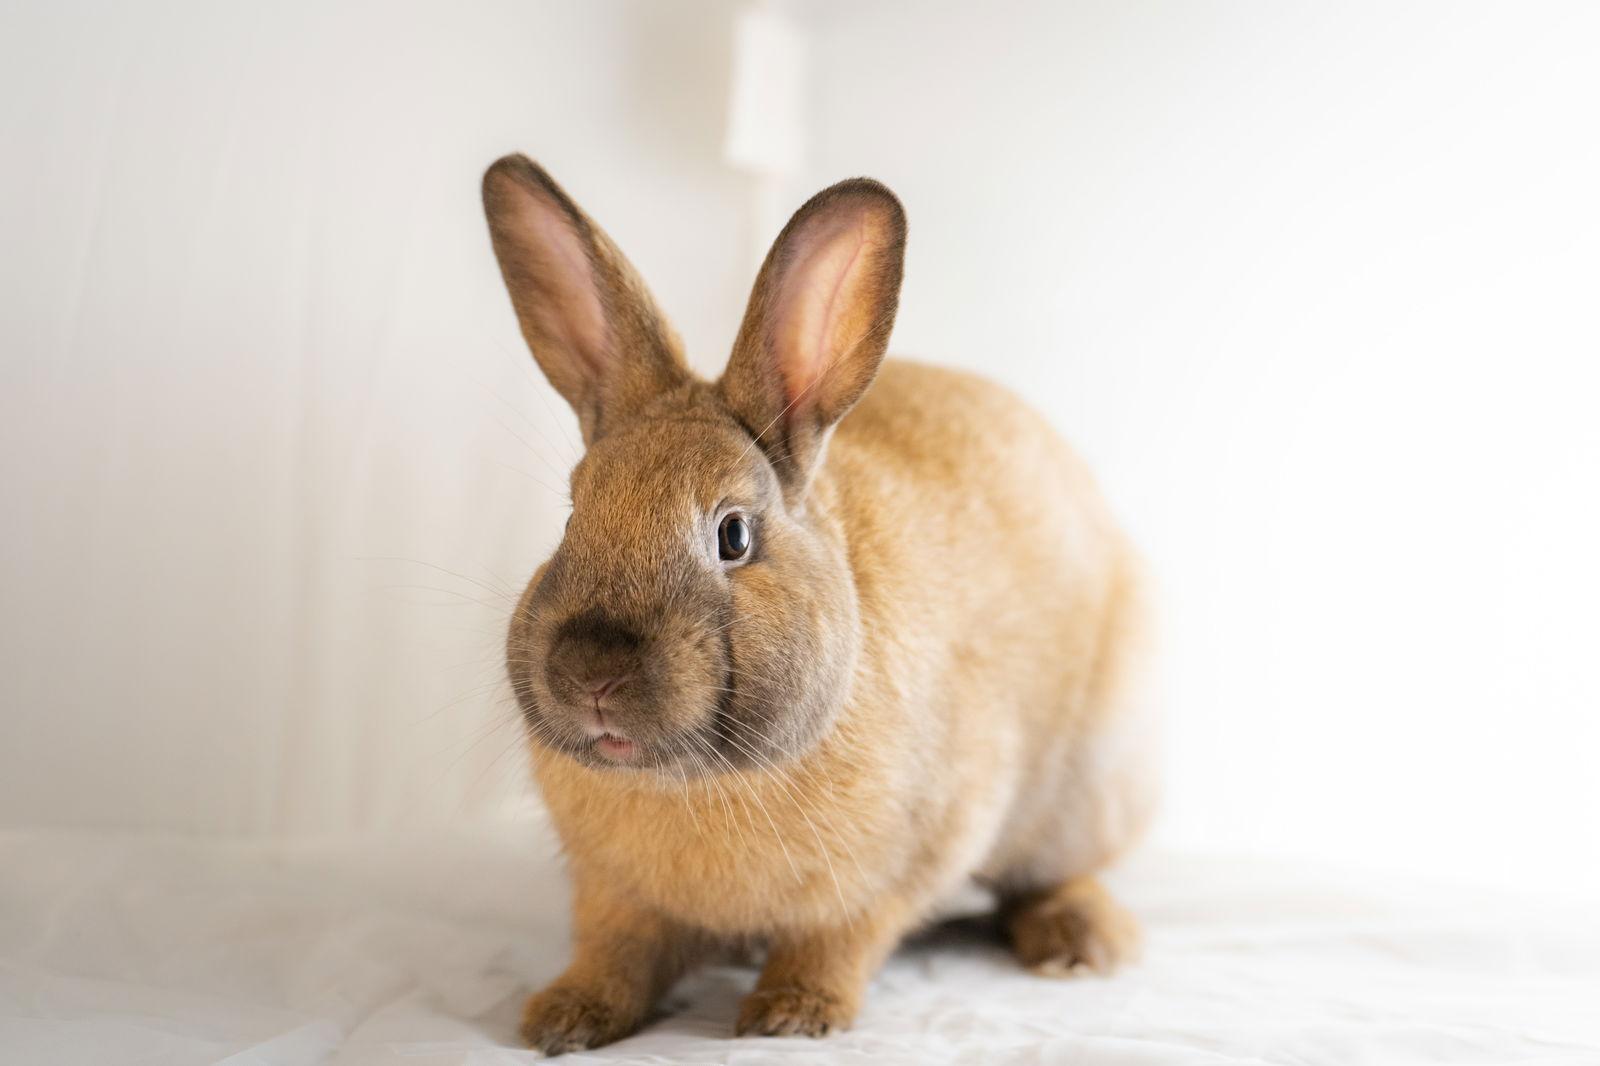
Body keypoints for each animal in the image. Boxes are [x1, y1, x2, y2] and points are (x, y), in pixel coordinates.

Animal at [482, 154, 1157, 1054]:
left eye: (733, 535)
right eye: (571, 515)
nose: (591, 673)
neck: (693, 781)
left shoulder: (893, 871)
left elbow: (837, 943)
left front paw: (792, 1015)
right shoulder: (611, 893)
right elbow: (614, 952)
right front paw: (562, 1017)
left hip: (1082, 792)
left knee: (1052, 876)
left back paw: (1081, 944)